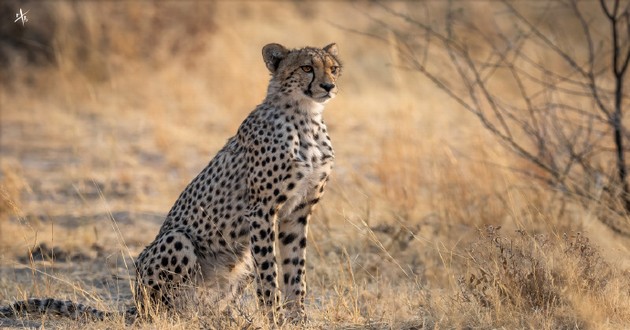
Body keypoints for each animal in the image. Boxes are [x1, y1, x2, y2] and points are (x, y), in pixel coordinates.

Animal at [0, 42, 344, 324]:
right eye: (306, 67)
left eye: (334, 67)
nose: (329, 86)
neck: (306, 118)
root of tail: (136, 305)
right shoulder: (261, 209)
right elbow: (270, 273)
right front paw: (274, 318)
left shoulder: (297, 212)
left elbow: (295, 270)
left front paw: (297, 318)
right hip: (177, 240)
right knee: (167, 307)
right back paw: (184, 317)